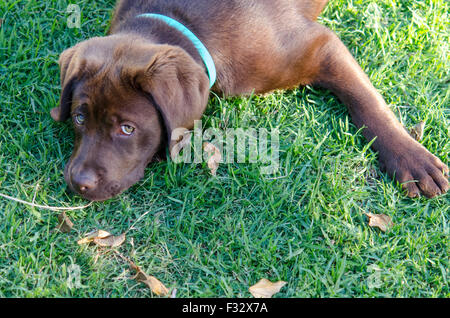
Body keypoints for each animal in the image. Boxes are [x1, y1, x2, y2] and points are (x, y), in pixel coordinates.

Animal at [51, 0, 446, 201]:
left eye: (127, 129)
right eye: (80, 118)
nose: (78, 182)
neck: (182, 22)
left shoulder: (319, 47)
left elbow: (368, 101)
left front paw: (411, 159)